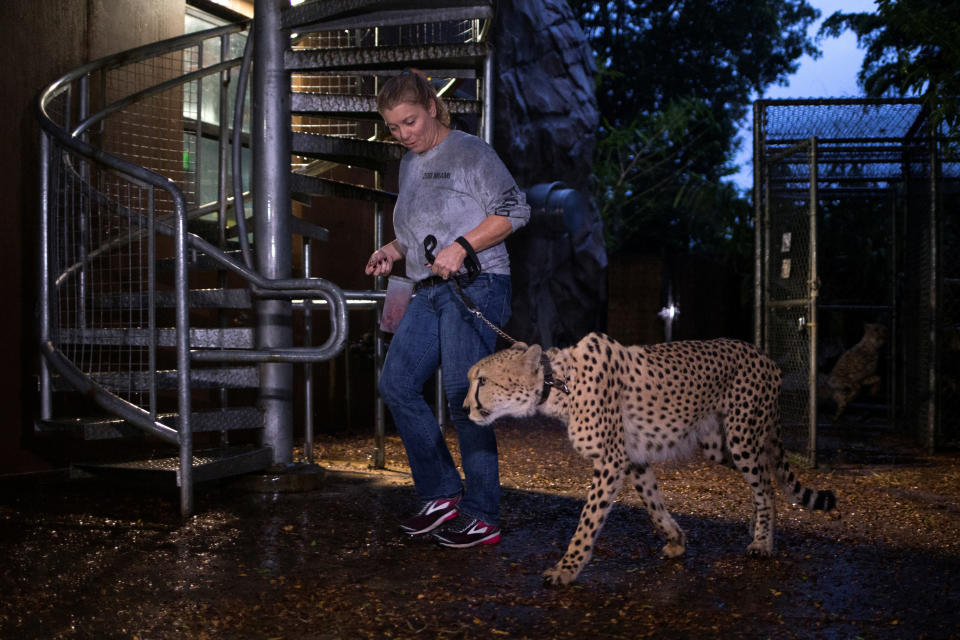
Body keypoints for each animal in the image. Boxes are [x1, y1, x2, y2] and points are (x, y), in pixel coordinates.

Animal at [464, 332, 832, 588]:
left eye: (482, 381)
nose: (465, 407)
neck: (557, 381)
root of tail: (763, 354)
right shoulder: (634, 458)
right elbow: (654, 506)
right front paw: (676, 541)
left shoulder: (611, 460)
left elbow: (587, 522)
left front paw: (566, 570)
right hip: (720, 444)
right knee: (766, 477)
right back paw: (758, 528)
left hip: (742, 436)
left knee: (765, 486)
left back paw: (762, 543)